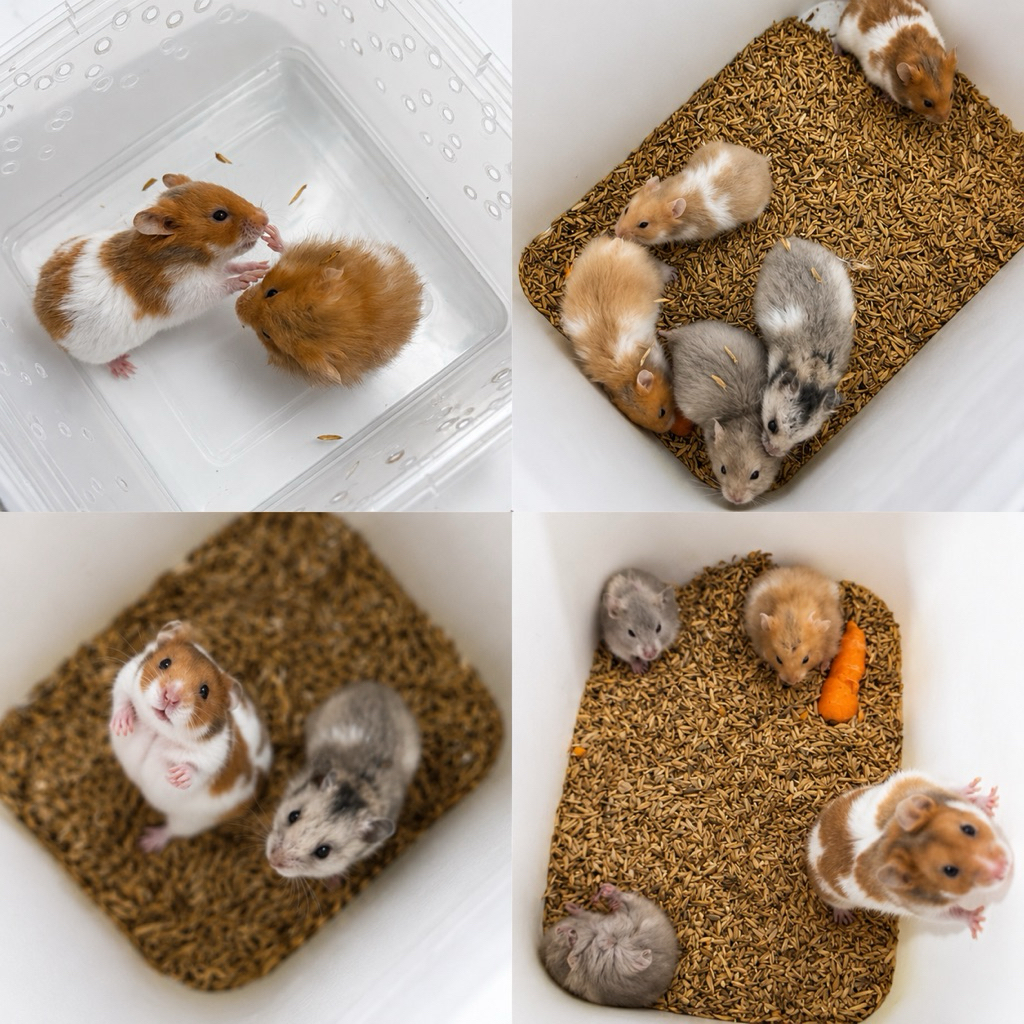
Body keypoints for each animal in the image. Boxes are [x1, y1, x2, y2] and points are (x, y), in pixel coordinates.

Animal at [33, 174, 269, 378]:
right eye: (219, 215)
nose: (265, 219)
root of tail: (39, 311)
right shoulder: (187, 294)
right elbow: (222, 286)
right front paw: (249, 278)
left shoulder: (218, 268)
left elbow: (232, 266)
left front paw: (260, 267)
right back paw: (124, 369)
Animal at [108, 620, 272, 851]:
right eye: (164, 663)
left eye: (204, 691)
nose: (170, 696)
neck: (157, 730)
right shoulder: (126, 674)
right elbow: (121, 697)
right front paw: (122, 726)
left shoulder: (214, 754)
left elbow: (198, 767)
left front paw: (177, 776)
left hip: (189, 821)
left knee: (171, 830)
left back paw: (147, 842)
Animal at [541, 883, 680, 1008]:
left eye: (559, 931)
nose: (570, 933)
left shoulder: (591, 919)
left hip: (634, 908)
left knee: (622, 899)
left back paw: (607, 892)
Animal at [559, 234, 677, 433]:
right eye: (641, 423)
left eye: (662, 412)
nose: (668, 428)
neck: (626, 375)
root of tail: (616, 244)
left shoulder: (656, 350)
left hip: (652, 269)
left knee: (661, 267)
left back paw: (673, 273)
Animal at [807, 772, 1013, 938]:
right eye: (950, 871)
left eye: (968, 829)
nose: (1005, 867)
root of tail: (811, 844)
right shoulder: (925, 910)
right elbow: (954, 913)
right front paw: (978, 921)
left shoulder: (926, 782)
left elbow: (954, 791)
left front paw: (988, 797)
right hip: (834, 896)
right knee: (837, 905)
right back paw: (844, 918)